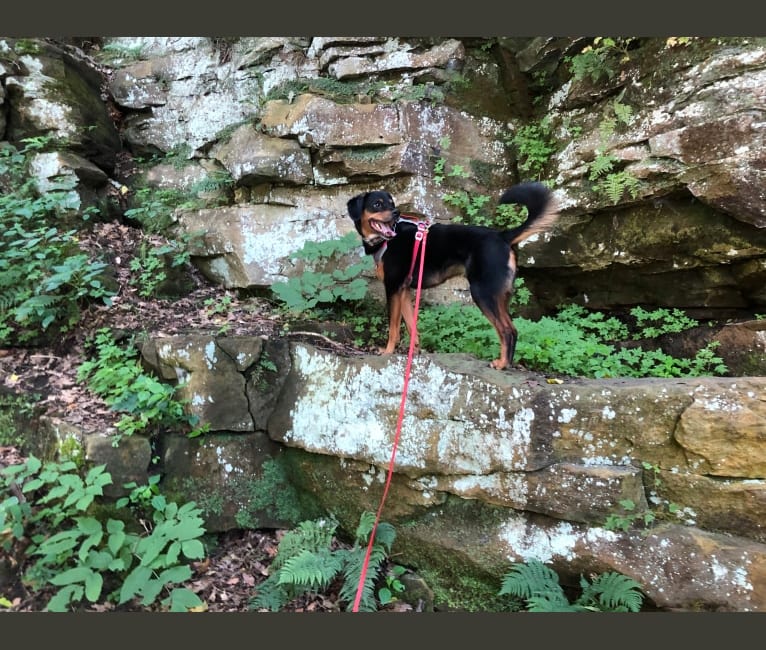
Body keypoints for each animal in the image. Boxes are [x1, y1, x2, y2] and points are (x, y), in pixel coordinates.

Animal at [348, 182, 560, 368]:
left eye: (391, 204)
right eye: (377, 204)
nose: (396, 213)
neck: (387, 240)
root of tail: (502, 235)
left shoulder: (392, 287)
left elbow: (393, 328)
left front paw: (387, 352)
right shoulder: (404, 290)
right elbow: (411, 326)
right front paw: (414, 353)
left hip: (483, 293)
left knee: (506, 330)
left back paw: (501, 365)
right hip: (499, 296)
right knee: (513, 330)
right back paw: (506, 362)